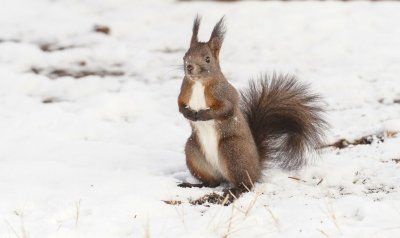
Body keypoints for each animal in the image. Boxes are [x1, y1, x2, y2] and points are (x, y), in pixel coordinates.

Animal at [177, 15, 326, 197]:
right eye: (185, 56)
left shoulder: (226, 94)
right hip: (194, 152)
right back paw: (193, 185)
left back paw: (235, 190)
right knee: (212, 182)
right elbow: (179, 105)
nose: (189, 67)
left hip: (232, 150)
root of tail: (256, 168)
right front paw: (188, 113)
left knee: (246, 183)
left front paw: (203, 114)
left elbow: (226, 109)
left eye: (207, 59)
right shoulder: (183, 92)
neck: (199, 83)